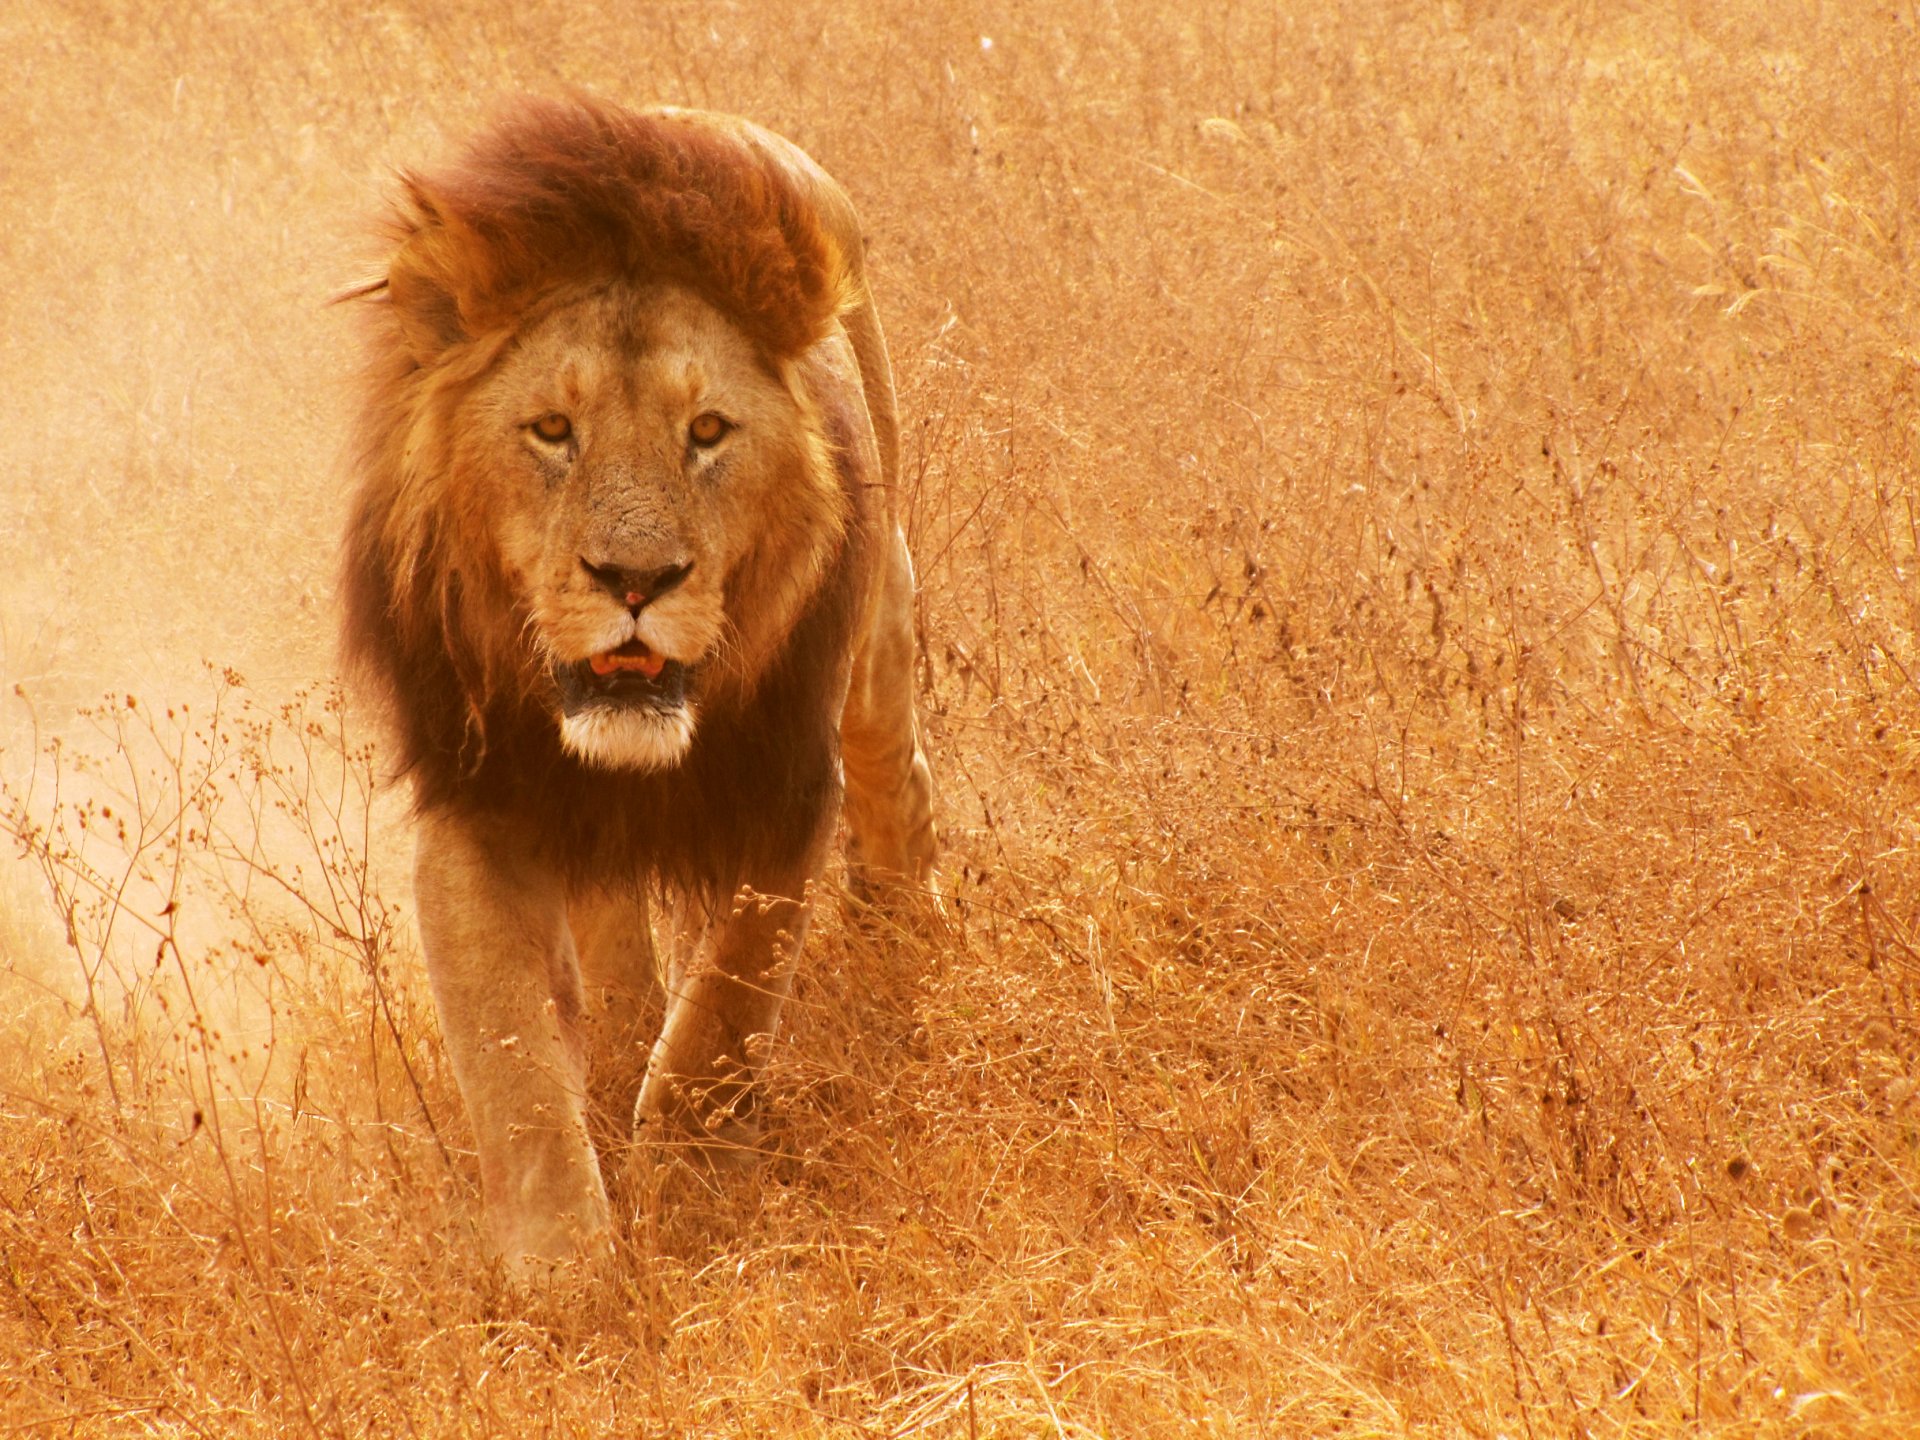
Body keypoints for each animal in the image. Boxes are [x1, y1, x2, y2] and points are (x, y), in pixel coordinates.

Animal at [345, 98, 944, 1274]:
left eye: (706, 431)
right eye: (551, 430)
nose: (634, 579)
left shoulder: (785, 793)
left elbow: (718, 1021)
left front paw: (698, 1202)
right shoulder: (477, 805)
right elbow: (514, 1064)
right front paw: (564, 1276)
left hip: (880, 625)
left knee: (897, 774)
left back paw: (909, 941)